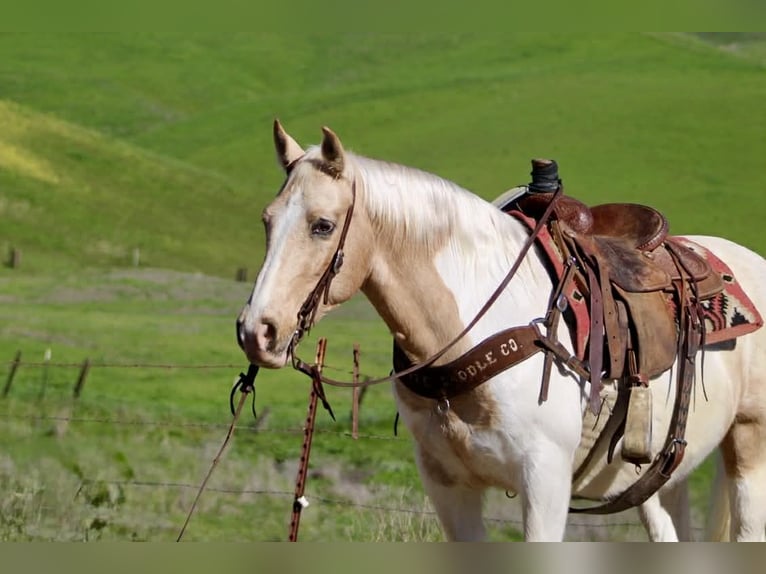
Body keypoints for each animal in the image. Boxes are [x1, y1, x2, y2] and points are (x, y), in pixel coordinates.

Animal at [236, 121, 766, 541]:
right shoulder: (449, 489)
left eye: (323, 225)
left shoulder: (544, 482)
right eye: (266, 220)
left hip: (749, 444)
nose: (256, 332)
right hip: (661, 477)